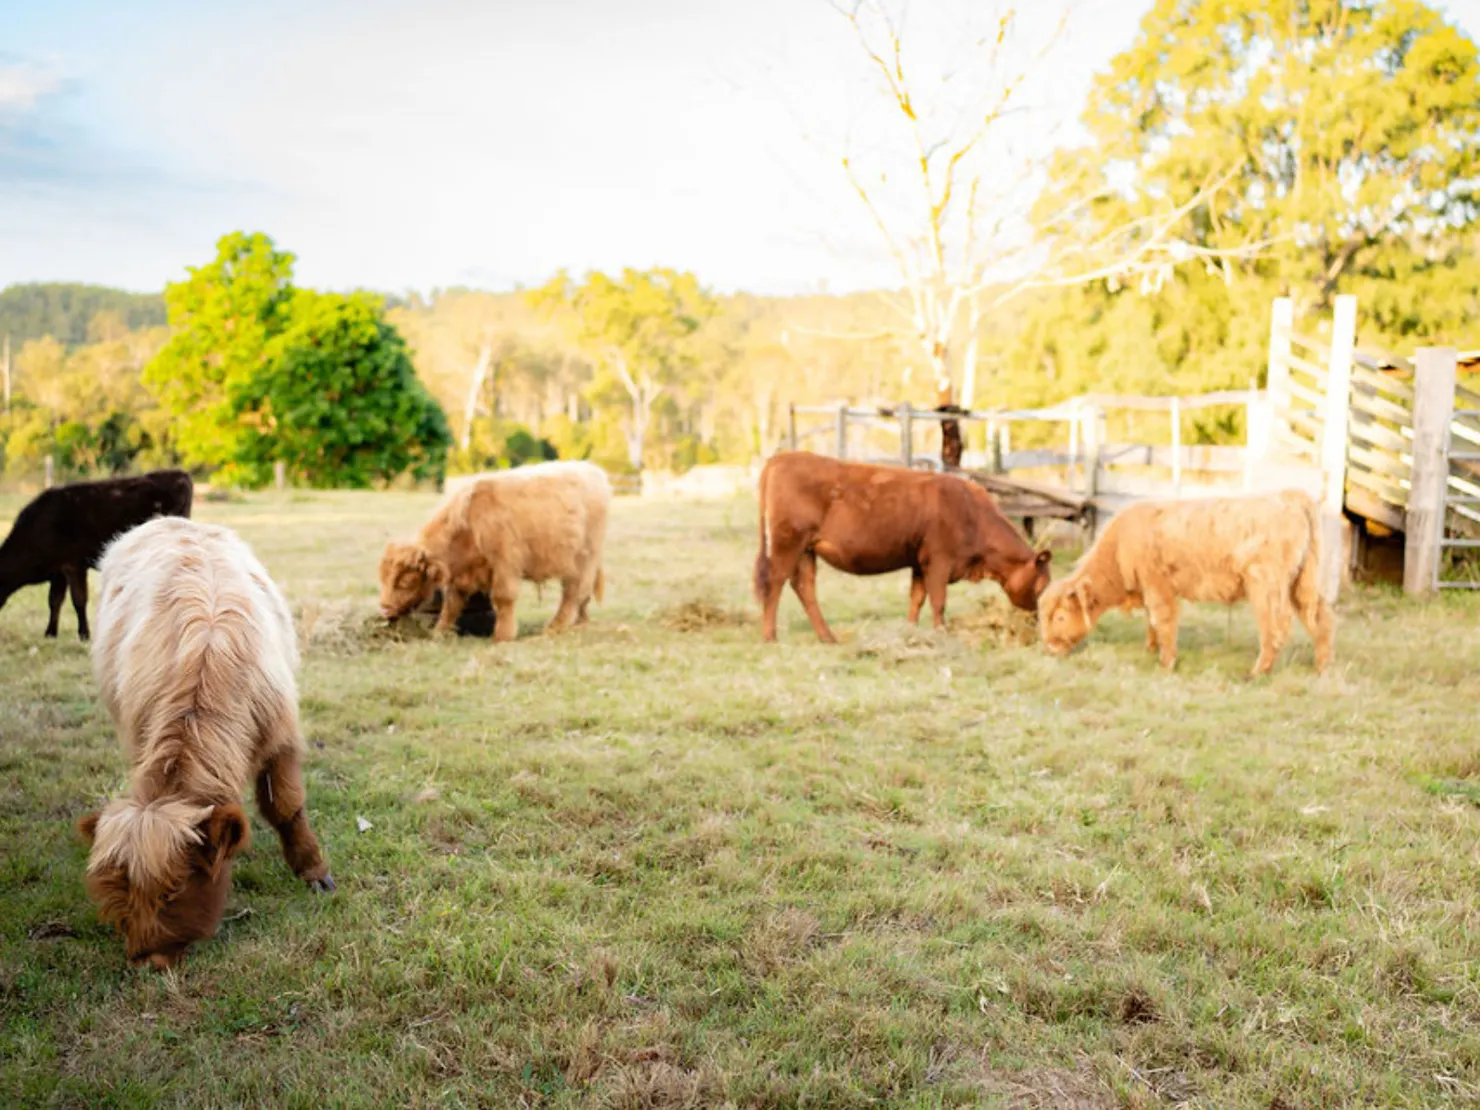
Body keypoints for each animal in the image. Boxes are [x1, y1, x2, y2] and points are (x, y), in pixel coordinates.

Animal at [0, 470, 195, 642]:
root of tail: (179, 474)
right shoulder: (58, 570)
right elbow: (54, 600)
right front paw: (50, 633)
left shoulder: (74, 565)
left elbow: (79, 600)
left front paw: (84, 635)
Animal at [79, 518, 334, 970]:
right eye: (120, 894)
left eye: (173, 890)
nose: (147, 961)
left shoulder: (282, 739)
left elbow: (287, 806)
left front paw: (313, 870)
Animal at [387, 458, 612, 639]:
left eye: (407, 581)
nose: (385, 607)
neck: (468, 523)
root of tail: (592, 470)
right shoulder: (460, 577)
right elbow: (451, 604)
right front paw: (439, 632)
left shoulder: (505, 564)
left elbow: (503, 597)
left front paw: (503, 636)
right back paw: (579, 622)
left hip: (583, 559)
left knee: (574, 591)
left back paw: (556, 626)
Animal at [751, 452, 1053, 642]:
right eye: (1042, 584)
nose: (1036, 620)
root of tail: (782, 457)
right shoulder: (938, 561)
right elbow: (938, 601)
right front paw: (941, 634)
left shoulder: (920, 562)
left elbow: (916, 599)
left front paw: (911, 632)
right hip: (787, 543)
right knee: (775, 583)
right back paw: (769, 636)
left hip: (806, 550)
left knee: (804, 587)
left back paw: (827, 637)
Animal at [1036, 494, 1337, 677]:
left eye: (1060, 617)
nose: (1048, 649)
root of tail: (1288, 496)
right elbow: (1151, 622)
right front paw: (1150, 650)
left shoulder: (1158, 586)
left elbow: (1162, 620)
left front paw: (1165, 663)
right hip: (1302, 583)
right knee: (1320, 618)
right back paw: (1321, 668)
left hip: (1266, 584)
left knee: (1276, 625)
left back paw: (1257, 672)